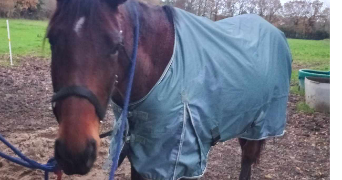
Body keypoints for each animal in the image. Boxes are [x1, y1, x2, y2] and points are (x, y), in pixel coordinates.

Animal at [48, 0, 272, 179]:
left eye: (115, 45)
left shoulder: (178, 159)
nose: (75, 154)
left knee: (247, 159)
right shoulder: (139, 153)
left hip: (258, 125)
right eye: (51, 39)